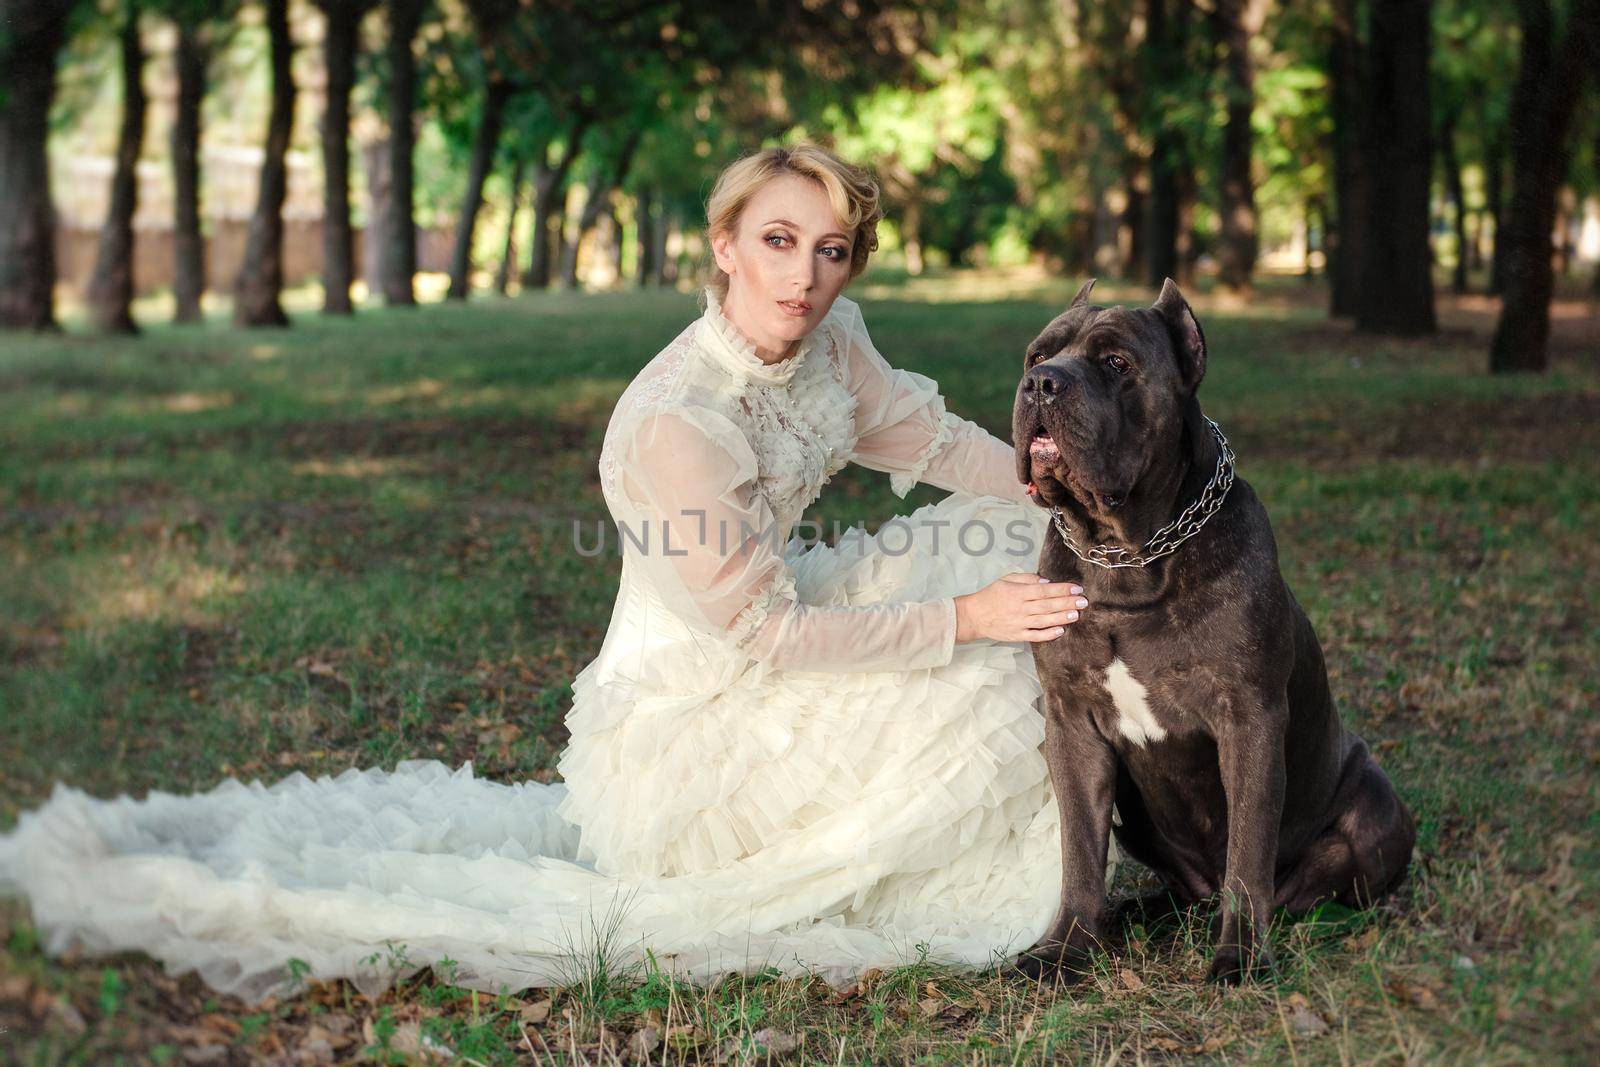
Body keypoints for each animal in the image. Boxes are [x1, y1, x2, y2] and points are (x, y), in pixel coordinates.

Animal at [1011, 278, 1414, 985]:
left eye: (1115, 362)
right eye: (1037, 355)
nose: (1041, 383)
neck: (1126, 559)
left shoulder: (1249, 720)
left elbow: (1248, 852)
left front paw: (1240, 958)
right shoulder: (1072, 724)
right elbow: (1079, 848)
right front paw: (1066, 949)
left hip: (1376, 806)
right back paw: (1135, 914)